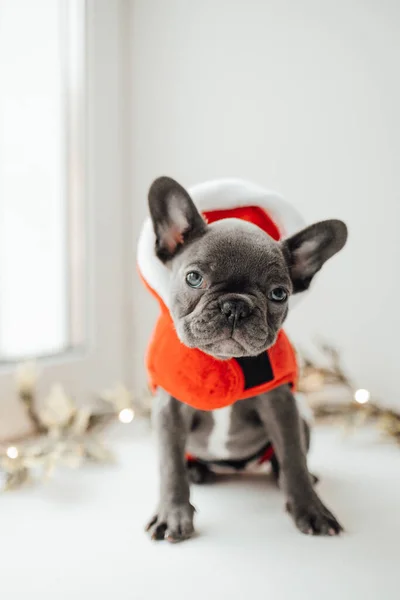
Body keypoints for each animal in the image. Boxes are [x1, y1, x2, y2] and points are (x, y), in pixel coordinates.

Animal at [143, 176, 346, 540]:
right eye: (193, 278)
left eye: (279, 294)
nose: (235, 305)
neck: (223, 361)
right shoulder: (170, 409)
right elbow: (170, 466)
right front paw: (173, 514)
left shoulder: (281, 405)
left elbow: (293, 458)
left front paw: (311, 508)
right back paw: (196, 471)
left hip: (302, 420)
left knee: (287, 460)